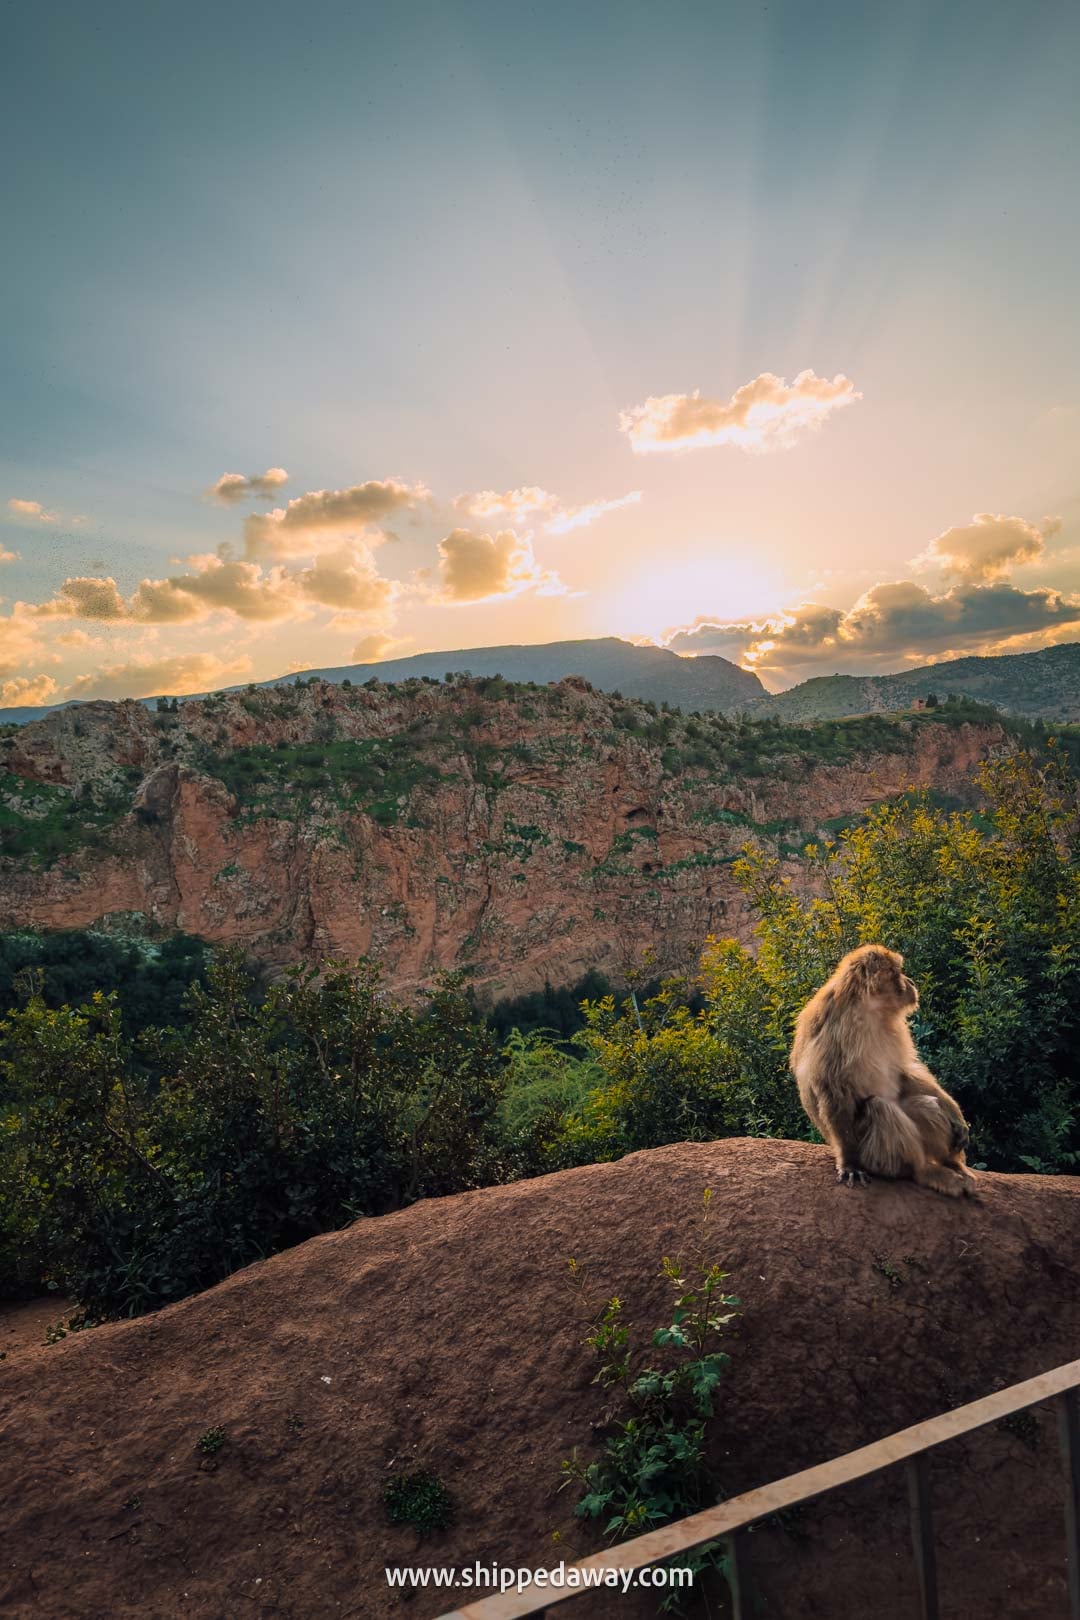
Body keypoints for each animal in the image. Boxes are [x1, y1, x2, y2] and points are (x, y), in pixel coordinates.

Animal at [790, 944, 974, 1198]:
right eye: (898, 972)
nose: (911, 982)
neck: (869, 1010)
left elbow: (902, 1072)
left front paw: (955, 1113)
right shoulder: (835, 1031)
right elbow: (833, 1091)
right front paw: (849, 1164)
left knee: (924, 1104)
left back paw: (951, 1163)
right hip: (873, 1156)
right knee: (879, 1108)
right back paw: (924, 1171)